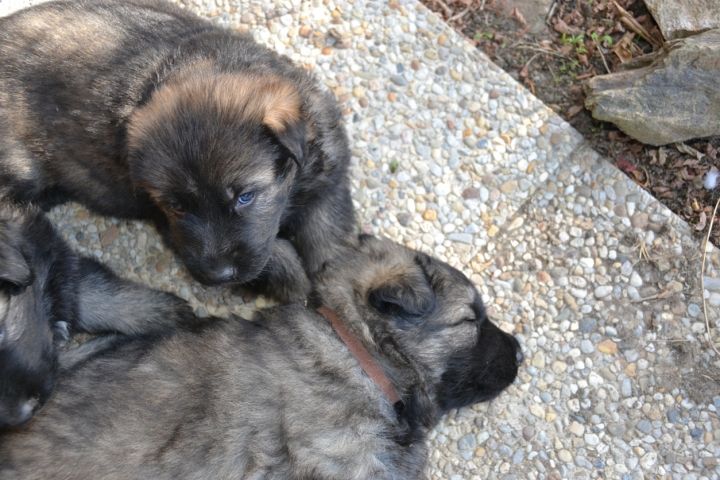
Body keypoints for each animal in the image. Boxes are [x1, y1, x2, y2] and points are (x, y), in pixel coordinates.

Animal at [0, 0, 355, 301]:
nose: (218, 275)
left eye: (245, 197)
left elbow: (329, 237)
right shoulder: (169, 225)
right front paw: (296, 285)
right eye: (177, 207)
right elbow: (278, 259)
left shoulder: (329, 176)